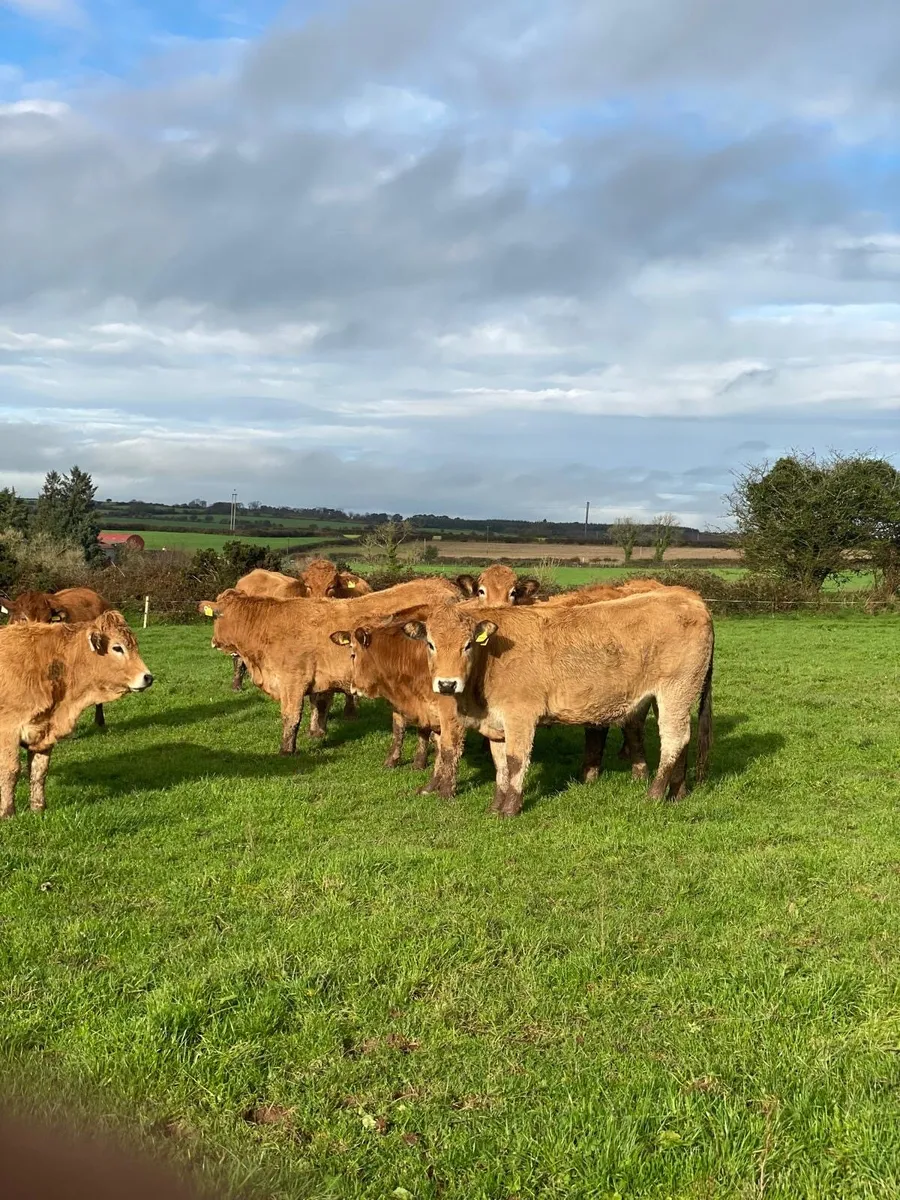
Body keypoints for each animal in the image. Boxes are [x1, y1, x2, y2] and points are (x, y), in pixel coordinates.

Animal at [0, 610, 153, 818]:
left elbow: (39, 771)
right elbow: (11, 770)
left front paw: (38, 808)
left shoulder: (45, 730)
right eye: (117, 648)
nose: (148, 677)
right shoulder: (8, 730)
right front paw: (8, 813)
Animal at [198, 576, 463, 756]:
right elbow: (320, 705)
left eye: (216, 617)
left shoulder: (292, 681)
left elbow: (291, 717)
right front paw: (316, 733)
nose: (213, 642)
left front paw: (287, 750)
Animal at [392, 587, 713, 815]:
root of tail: (689, 598)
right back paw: (678, 792)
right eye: (431, 644)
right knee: (683, 738)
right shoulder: (496, 724)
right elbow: (500, 765)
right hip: (672, 696)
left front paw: (509, 808)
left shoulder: (520, 716)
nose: (447, 684)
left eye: (468, 644)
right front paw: (496, 804)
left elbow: (516, 760)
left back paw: (655, 794)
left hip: (675, 689)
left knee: (673, 739)